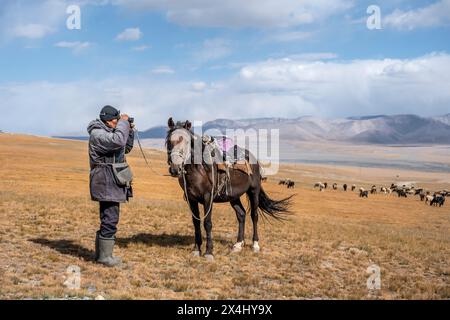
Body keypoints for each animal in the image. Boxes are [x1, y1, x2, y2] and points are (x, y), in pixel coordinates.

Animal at [164, 117, 292, 260]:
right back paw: (238, 245)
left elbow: (207, 223)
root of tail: (253, 158)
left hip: (254, 191)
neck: (199, 169)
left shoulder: (208, 198)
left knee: (254, 215)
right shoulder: (191, 199)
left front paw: (209, 252)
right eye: (169, 141)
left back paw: (255, 245)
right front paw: (196, 250)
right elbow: (196, 222)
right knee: (241, 214)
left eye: (187, 142)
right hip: (233, 196)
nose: (175, 169)